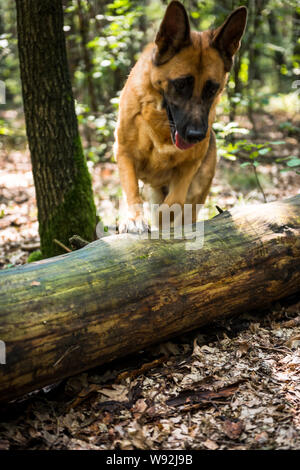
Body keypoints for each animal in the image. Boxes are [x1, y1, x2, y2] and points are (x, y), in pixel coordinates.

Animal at [113, 0, 247, 232]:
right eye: (181, 84)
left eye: (212, 89)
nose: (196, 136)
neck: (161, 123)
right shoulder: (124, 153)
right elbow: (131, 190)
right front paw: (134, 218)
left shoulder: (189, 166)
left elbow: (173, 203)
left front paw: (163, 223)